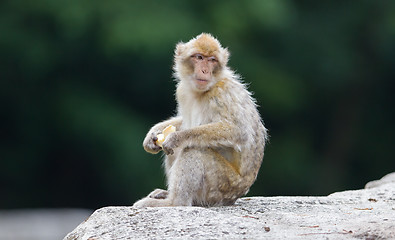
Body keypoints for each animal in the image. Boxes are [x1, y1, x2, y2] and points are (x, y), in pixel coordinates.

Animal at [134, 33, 270, 208]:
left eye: (212, 60)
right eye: (199, 57)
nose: (205, 70)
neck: (202, 91)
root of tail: (236, 196)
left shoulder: (222, 92)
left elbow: (239, 131)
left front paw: (177, 137)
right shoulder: (182, 91)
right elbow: (184, 122)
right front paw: (153, 133)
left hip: (222, 185)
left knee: (195, 150)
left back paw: (174, 202)